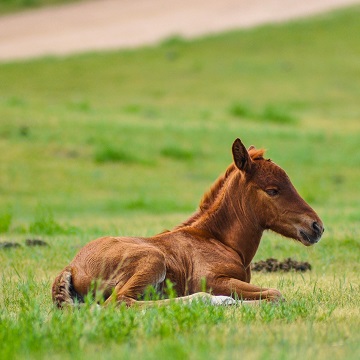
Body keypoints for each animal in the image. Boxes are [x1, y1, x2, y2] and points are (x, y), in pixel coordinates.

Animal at [52, 139, 324, 308]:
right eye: (272, 190)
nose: (317, 227)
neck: (219, 240)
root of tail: (71, 266)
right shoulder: (213, 279)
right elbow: (276, 294)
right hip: (152, 259)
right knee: (119, 302)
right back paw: (209, 300)